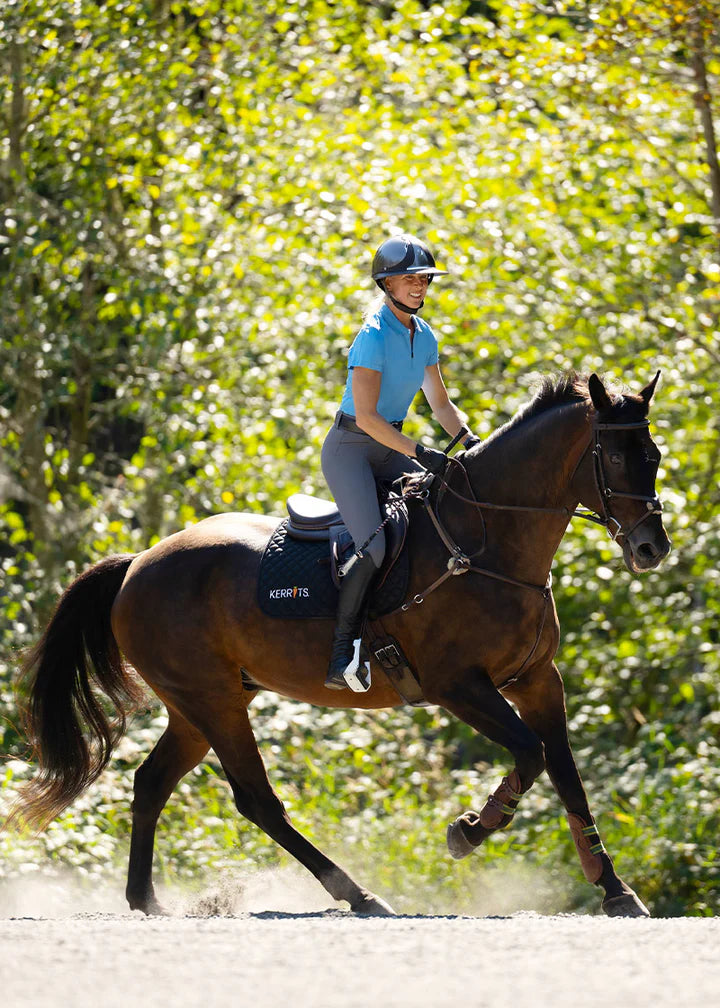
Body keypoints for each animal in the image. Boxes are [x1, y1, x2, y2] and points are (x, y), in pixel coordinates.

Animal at [8, 371, 670, 917]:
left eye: (655, 456)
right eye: (615, 455)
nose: (651, 549)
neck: (491, 543)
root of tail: (138, 562)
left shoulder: (537, 680)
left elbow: (566, 775)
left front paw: (616, 891)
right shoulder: (459, 686)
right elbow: (531, 756)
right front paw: (468, 831)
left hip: (202, 705)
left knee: (151, 783)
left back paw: (145, 900)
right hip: (211, 701)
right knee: (255, 800)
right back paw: (359, 894)